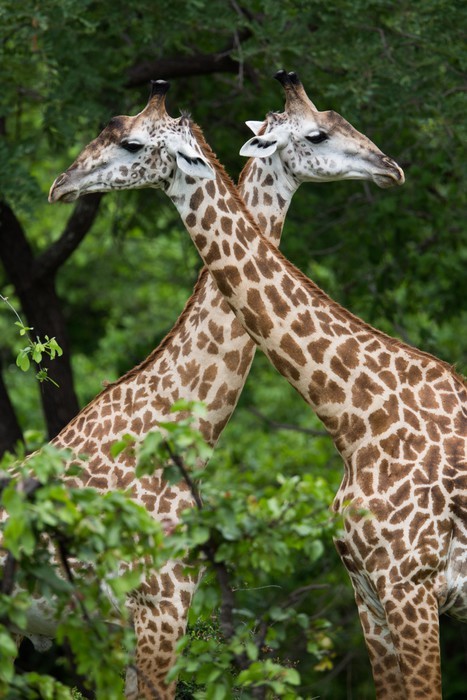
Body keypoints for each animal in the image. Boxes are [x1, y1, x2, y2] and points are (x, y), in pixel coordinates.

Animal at [49, 77, 466, 699]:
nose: (390, 168)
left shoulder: (406, 586)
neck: (359, 417)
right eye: (318, 133)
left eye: (130, 142)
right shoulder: (376, 591)